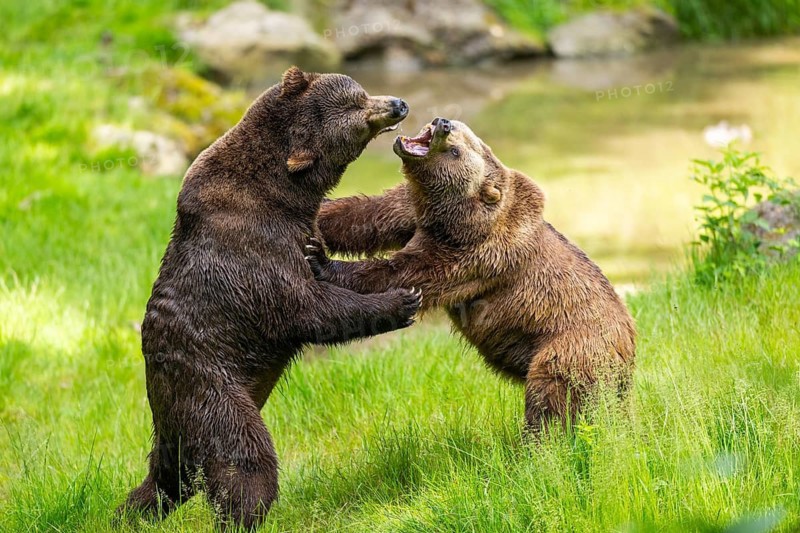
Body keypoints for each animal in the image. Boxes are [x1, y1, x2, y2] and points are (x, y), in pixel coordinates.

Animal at [118, 67, 422, 529]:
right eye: (356, 110)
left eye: (360, 91)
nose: (398, 104)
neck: (285, 194)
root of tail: (159, 397)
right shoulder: (253, 250)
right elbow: (308, 309)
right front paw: (402, 301)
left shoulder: (302, 228)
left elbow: (330, 273)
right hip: (210, 389)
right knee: (244, 459)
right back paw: (242, 516)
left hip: (179, 427)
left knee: (168, 479)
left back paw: (124, 511)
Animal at [308, 117, 636, 431]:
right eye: (462, 133)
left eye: (457, 150)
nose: (442, 123)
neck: (453, 217)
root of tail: (630, 353)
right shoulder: (413, 209)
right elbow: (364, 216)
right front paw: (318, 220)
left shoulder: (476, 256)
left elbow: (409, 272)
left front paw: (321, 260)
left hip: (573, 346)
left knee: (550, 397)